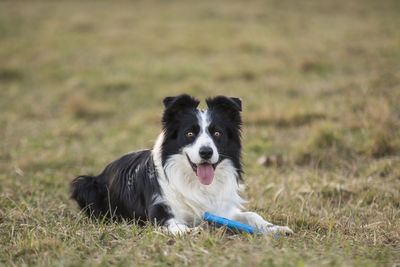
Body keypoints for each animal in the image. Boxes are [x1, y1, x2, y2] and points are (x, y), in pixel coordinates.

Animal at [70, 95, 292, 236]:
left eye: (217, 133)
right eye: (190, 133)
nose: (206, 152)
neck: (195, 182)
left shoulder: (222, 210)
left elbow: (252, 215)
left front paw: (274, 228)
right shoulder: (161, 213)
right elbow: (177, 226)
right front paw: (193, 231)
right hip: (84, 184)